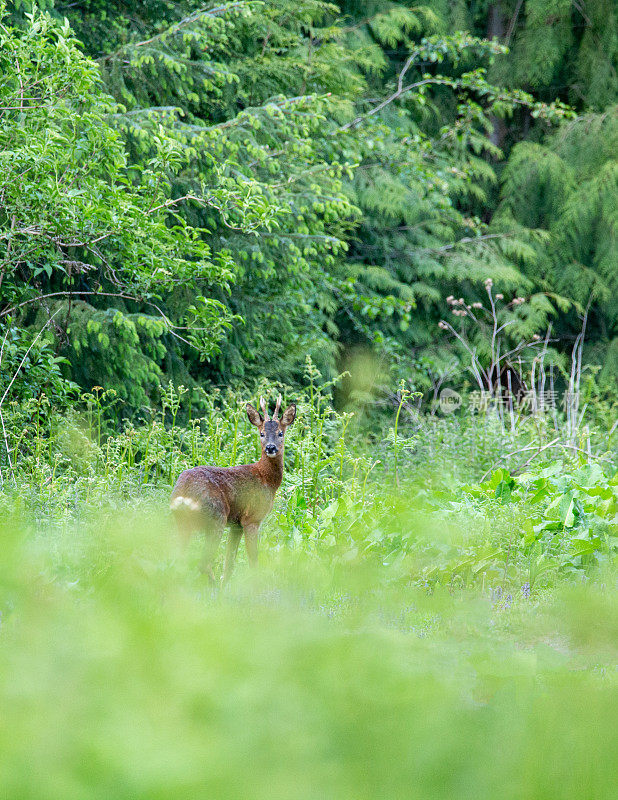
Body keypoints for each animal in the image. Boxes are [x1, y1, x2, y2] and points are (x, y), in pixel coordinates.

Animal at [168, 394, 294, 580]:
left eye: (280, 433)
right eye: (262, 433)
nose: (270, 448)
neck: (266, 479)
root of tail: (183, 493)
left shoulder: (236, 524)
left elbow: (229, 566)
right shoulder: (252, 518)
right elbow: (253, 561)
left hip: (182, 521)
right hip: (216, 517)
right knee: (203, 563)